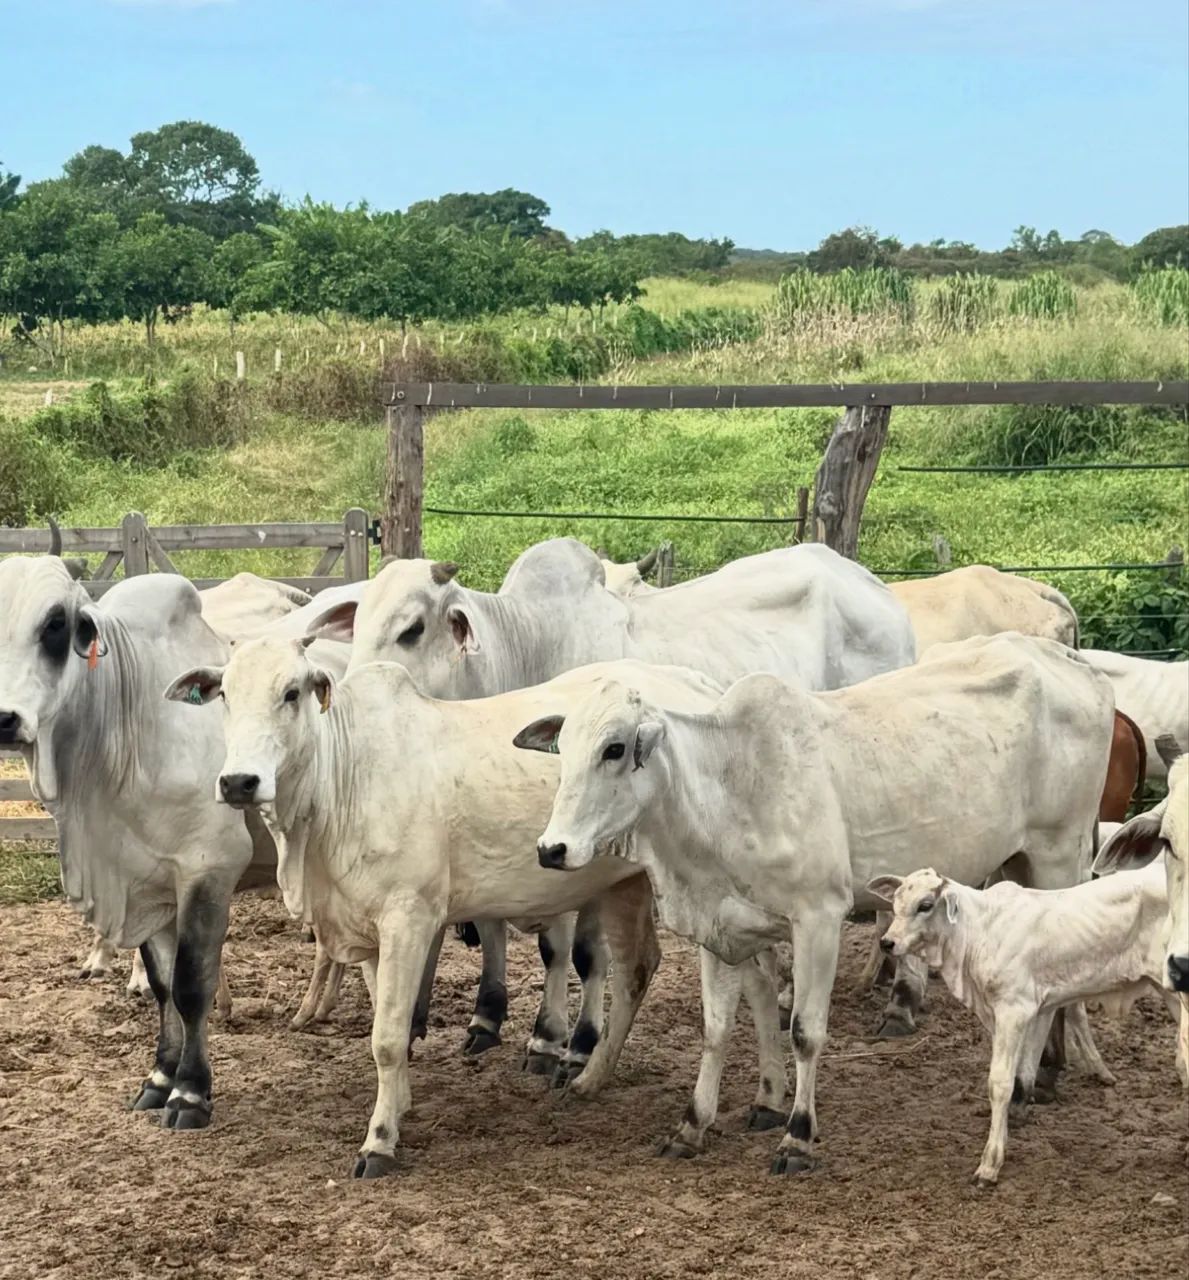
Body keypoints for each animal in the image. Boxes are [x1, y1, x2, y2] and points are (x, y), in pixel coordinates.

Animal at [166, 641, 770, 1178]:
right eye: (225, 695)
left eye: (291, 693)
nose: (239, 781)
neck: (341, 781)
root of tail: (702, 686)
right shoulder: (369, 931)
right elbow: (389, 1019)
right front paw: (400, 1103)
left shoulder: (408, 918)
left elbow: (387, 1038)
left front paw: (379, 1141)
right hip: (626, 886)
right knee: (638, 969)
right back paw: (592, 1075)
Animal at [513, 633, 1112, 1173]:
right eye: (563, 750)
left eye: (614, 749)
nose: (552, 848)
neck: (731, 786)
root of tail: (1069, 658)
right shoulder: (719, 927)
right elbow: (717, 1028)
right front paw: (693, 1124)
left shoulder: (819, 918)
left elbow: (805, 1031)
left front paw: (797, 1136)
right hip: (1019, 861)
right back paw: (1045, 1075)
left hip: (1060, 853)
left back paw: (1031, 1082)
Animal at [870, 862, 1185, 1187]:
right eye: (895, 902)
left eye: (925, 905)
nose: (887, 942)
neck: (979, 930)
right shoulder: (1031, 1010)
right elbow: (1025, 1068)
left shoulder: (1013, 1010)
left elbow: (1000, 1082)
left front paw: (990, 1163)